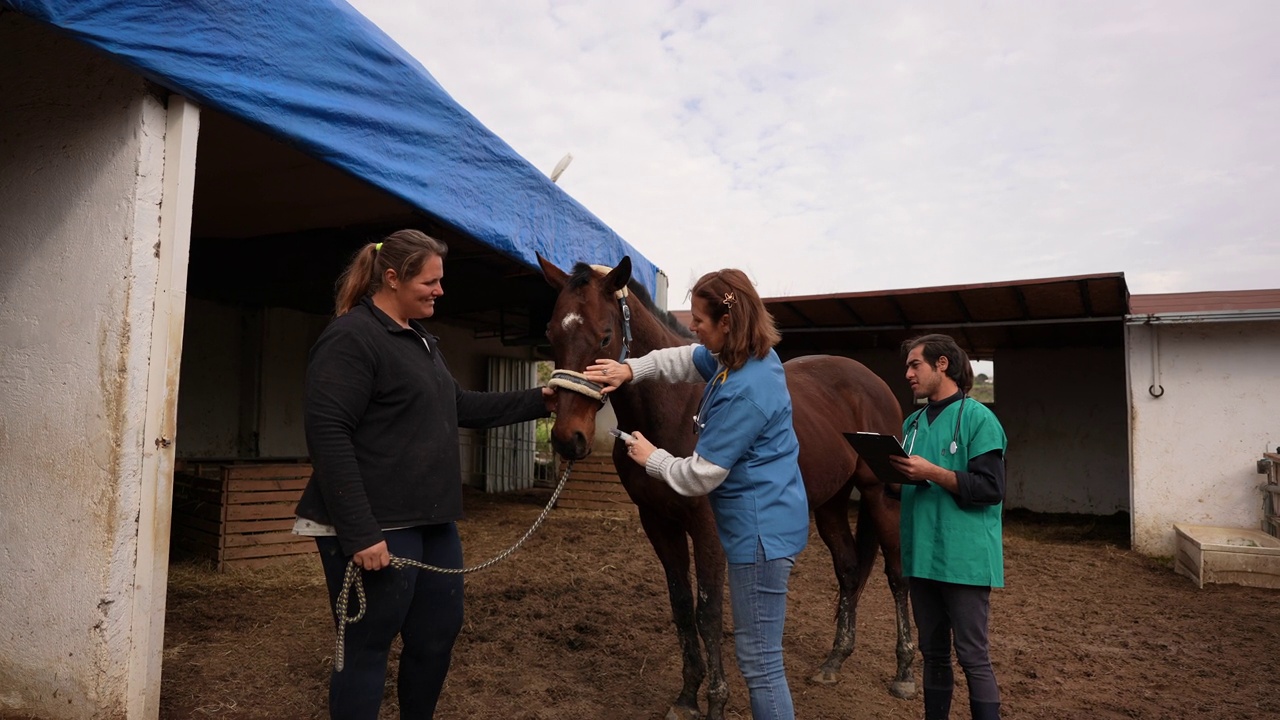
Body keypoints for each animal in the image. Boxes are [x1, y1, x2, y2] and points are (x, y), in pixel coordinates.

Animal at [535, 254, 916, 712]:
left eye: (605, 336)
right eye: (551, 333)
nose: (566, 439)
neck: (675, 408)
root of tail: (871, 381)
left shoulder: (708, 528)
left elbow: (708, 611)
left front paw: (715, 700)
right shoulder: (658, 523)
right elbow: (682, 606)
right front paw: (686, 696)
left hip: (881, 497)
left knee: (897, 575)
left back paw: (904, 672)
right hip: (830, 503)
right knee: (847, 568)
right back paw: (834, 660)